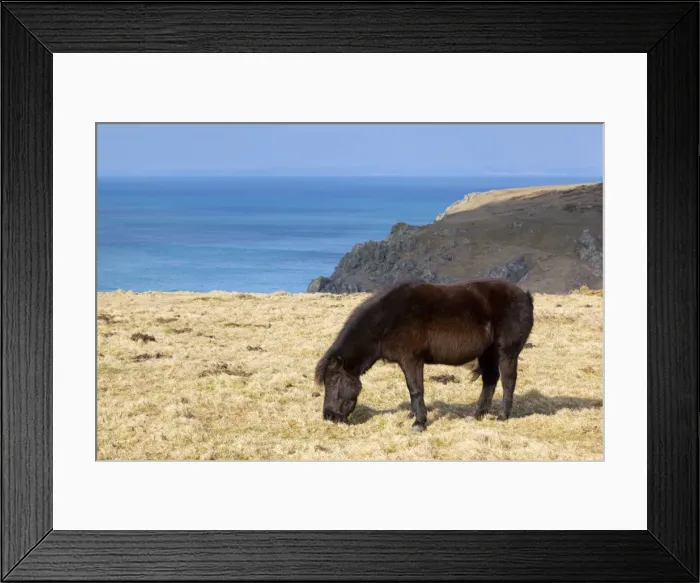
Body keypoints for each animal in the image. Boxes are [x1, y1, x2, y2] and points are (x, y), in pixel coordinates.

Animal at [314, 278, 534, 431]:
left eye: (333, 381)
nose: (329, 416)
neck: (387, 320)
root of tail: (525, 295)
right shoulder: (406, 362)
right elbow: (411, 389)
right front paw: (412, 415)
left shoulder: (411, 360)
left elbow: (416, 389)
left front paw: (419, 422)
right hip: (487, 353)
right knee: (490, 380)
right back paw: (477, 414)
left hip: (506, 352)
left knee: (508, 381)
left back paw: (502, 416)